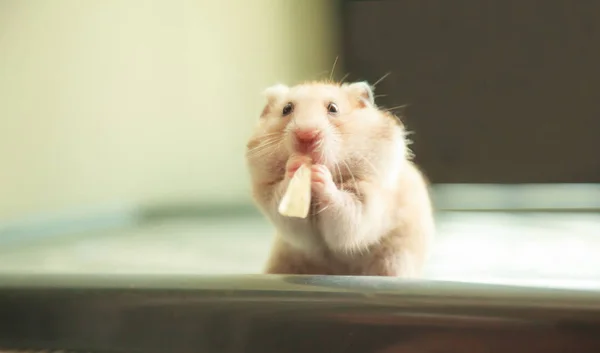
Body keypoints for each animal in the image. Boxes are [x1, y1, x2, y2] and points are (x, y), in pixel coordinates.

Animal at [245, 80, 436, 278]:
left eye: (333, 108)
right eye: (286, 109)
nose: (306, 135)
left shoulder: (367, 198)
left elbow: (346, 210)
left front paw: (320, 174)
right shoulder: (274, 201)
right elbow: (288, 212)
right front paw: (296, 165)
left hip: (394, 257)